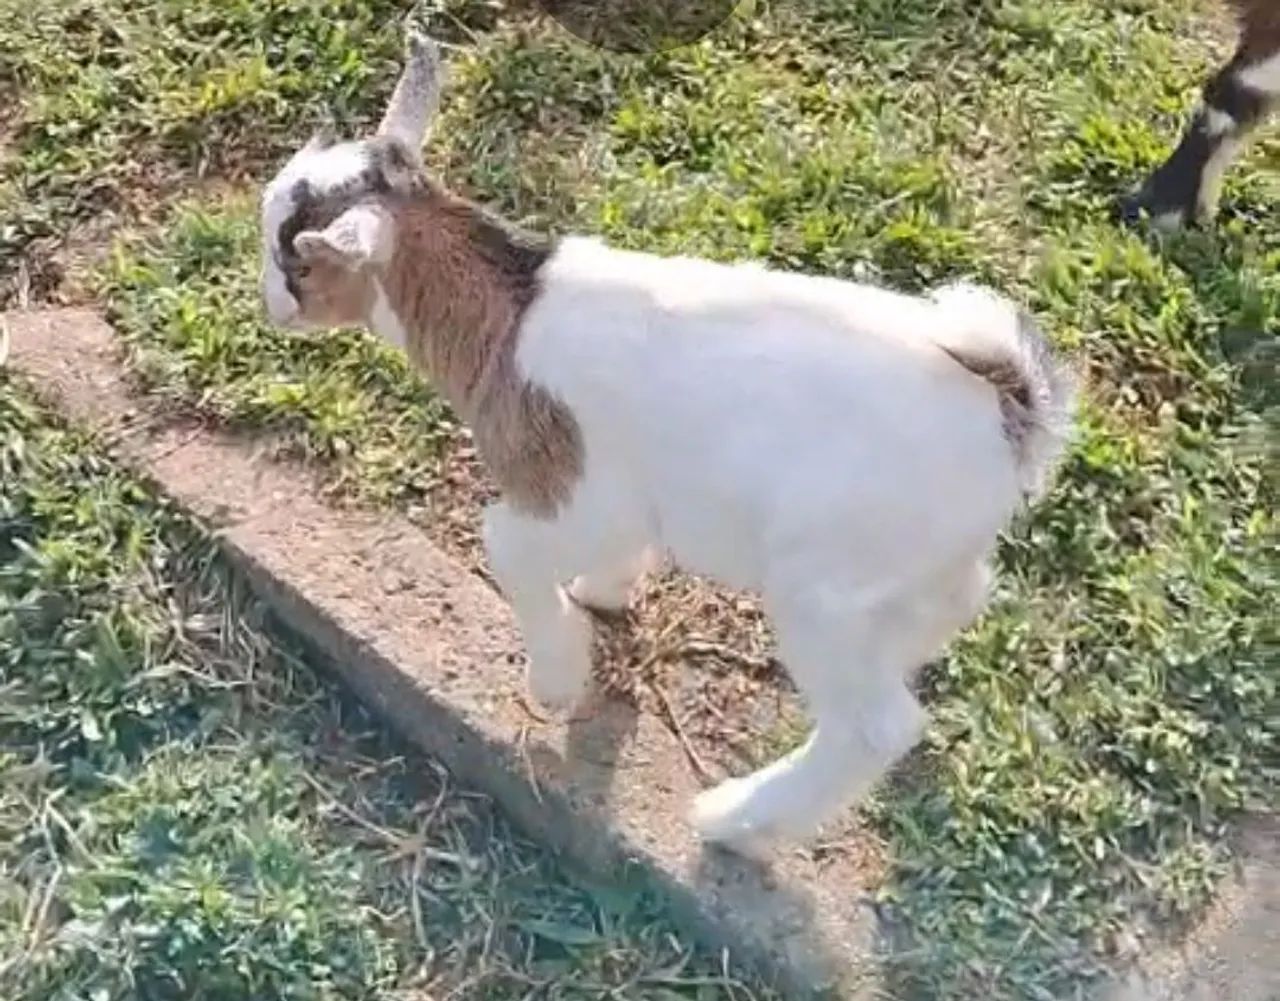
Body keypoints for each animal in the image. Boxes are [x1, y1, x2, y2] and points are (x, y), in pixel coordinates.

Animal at [258, 29, 1077, 857]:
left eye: (296, 260)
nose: (268, 303)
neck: (507, 312)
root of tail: (1013, 413)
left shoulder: (572, 489)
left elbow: (505, 545)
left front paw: (555, 680)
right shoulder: (629, 500)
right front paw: (604, 593)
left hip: (823, 586)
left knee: (877, 725)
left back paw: (735, 820)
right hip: (914, 574)